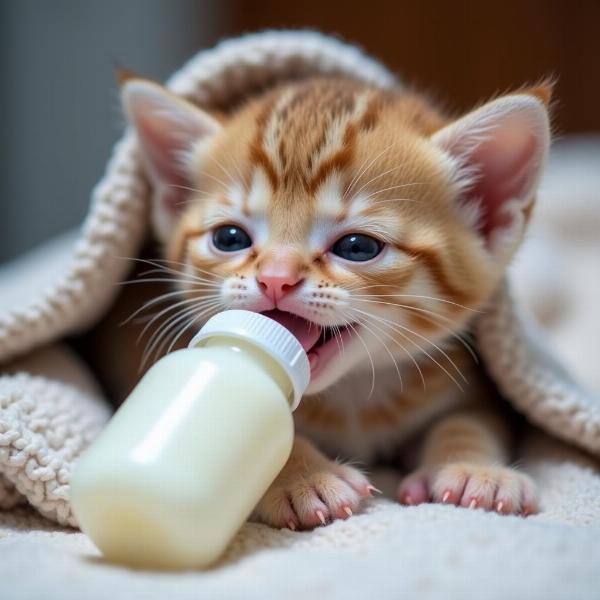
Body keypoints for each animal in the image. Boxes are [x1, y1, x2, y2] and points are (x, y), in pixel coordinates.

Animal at [118, 72, 552, 528]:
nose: (275, 279)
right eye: (230, 238)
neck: (352, 398)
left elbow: (470, 417)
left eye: (358, 247)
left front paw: (474, 468)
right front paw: (304, 476)